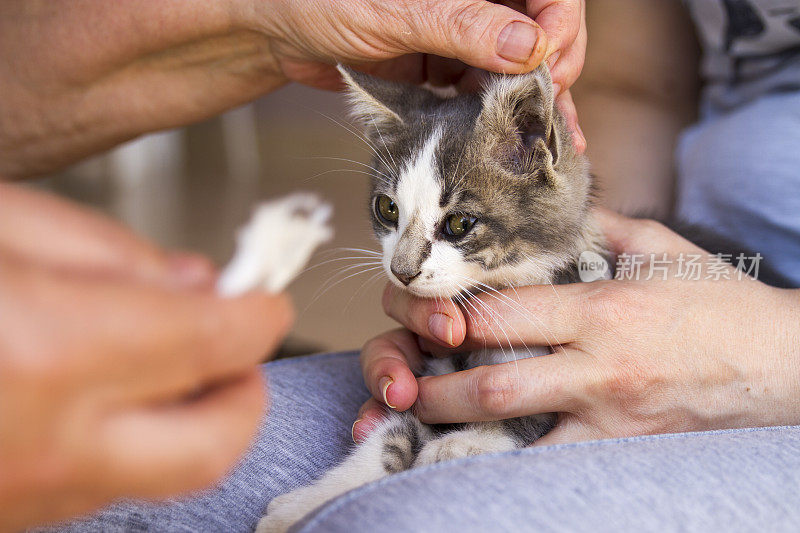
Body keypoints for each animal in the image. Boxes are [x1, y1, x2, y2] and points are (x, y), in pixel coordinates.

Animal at [256, 66, 608, 532]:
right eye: (387, 208)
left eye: (459, 223)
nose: (402, 271)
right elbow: (390, 435)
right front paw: (305, 504)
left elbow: (532, 413)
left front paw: (461, 445)